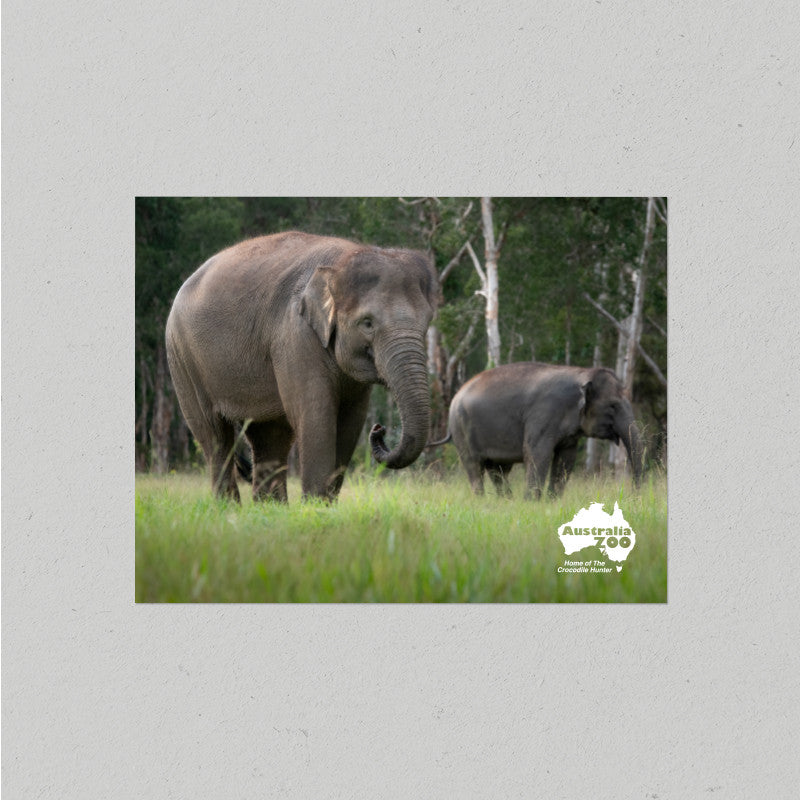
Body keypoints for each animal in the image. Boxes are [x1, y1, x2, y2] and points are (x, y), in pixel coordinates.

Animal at [165, 231, 437, 502]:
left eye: (427, 322)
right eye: (367, 323)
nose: (379, 429)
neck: (343, 260)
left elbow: (351, 422)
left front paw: (325, 505)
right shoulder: (295, 336)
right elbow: (316, 414)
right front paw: (314, 505)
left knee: (270, 436)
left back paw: (270, 508)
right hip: (182, 358)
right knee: (215, 436)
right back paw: (228, 506)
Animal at [434, 362, 643, 499]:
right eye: (613, 406)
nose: (633, 495)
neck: (583, 373)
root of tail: (455, 396)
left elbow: (566, 459)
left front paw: (552, 501)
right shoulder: (543, 414)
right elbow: (537, 453)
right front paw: (532, 502)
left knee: (497, 470)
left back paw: (506, 501)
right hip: (461, 429)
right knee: (474, 466)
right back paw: (483, 500)